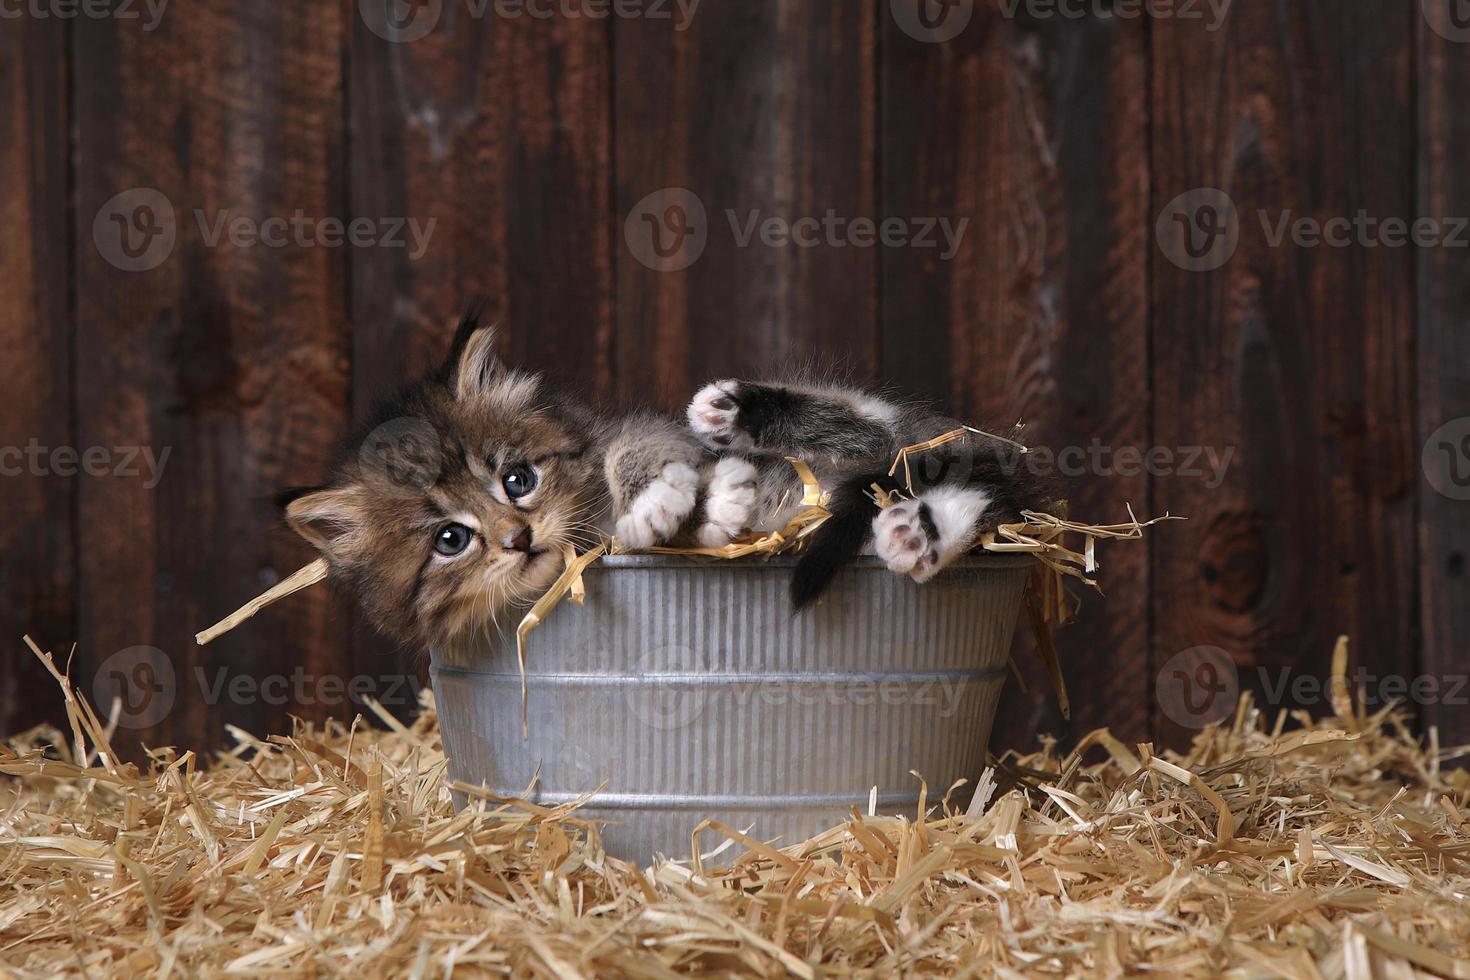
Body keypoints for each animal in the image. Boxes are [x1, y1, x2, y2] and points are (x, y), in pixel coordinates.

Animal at [282, 315, 758, 652]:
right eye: (450, 539)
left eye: (518, 480)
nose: (519, 539)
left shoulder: (636, 429)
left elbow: (636, 444)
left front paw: (663, 500)